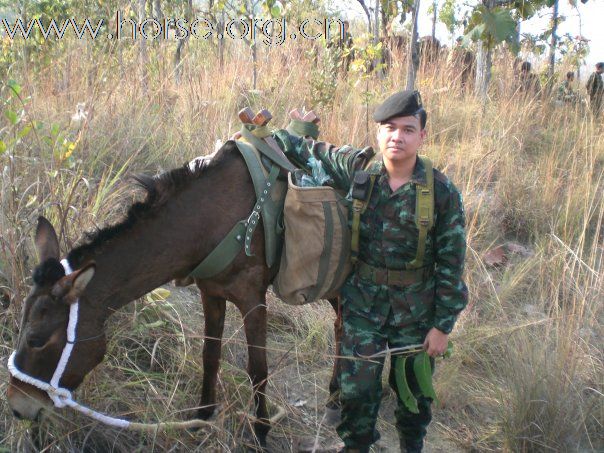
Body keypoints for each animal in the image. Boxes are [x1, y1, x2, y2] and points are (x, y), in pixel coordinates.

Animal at [7, 141, 342, 448]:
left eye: (36, 340)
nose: (17, 407)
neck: (209, 219)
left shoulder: (252, 296)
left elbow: (258, 368)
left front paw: (260, 431)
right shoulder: (211, 292)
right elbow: (210, 356)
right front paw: (202, 417)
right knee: (341, 326)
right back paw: (335, 397)